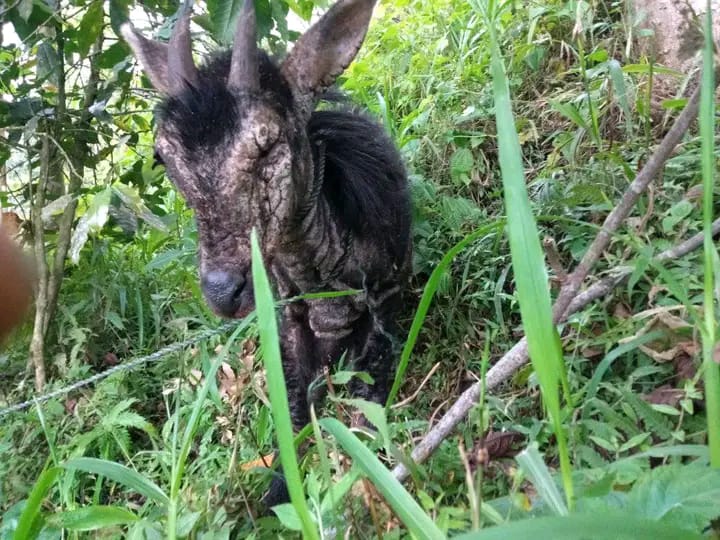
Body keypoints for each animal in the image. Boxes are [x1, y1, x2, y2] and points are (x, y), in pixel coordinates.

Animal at [121, 0, 408, 502]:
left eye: (268, 143)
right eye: (163, 159)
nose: (223, 291)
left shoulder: (389, 294)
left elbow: (370, 400)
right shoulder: (286, 323)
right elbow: (292, 413)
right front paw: (275, 492)